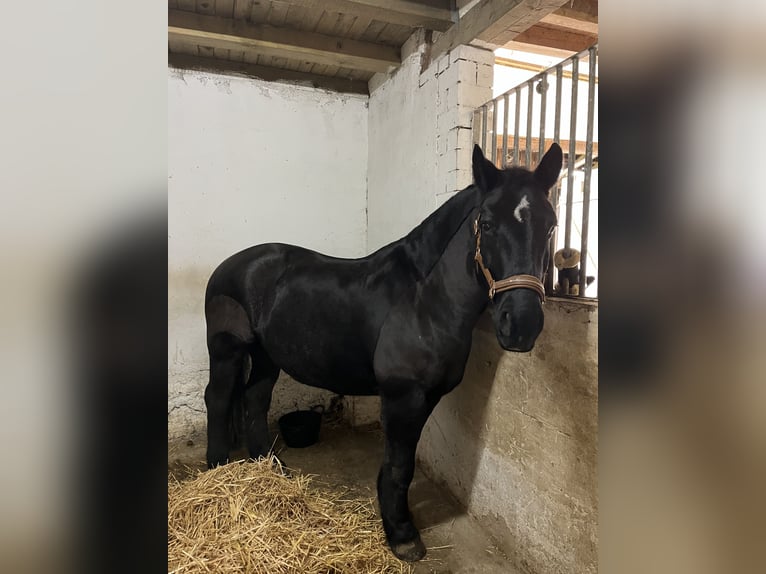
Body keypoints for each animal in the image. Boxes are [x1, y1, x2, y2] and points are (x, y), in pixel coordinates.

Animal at [204, 144, 564, 564]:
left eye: (551, 225)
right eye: (487, 224)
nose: (521, 324)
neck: (425, 299)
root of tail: (231, 265)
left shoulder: (427, 396)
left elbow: (401, 464)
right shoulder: (401, 396)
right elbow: (398, 466)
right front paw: (403, 535)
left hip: (266, 356)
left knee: (255, 398)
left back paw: (270, 468)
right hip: (227, 351)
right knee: (219, 398)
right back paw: (217, 469)